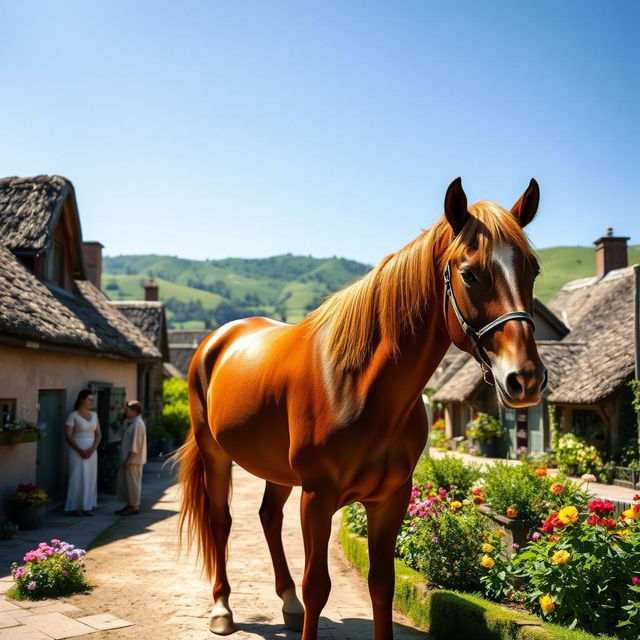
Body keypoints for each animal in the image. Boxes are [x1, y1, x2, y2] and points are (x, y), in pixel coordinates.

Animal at [172, 179, 548, 640]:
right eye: (469, 273)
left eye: (532, 270)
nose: (525, 378)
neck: (358, 387)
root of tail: (216, 340)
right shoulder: (317, 498)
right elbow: (318, 585)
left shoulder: (391, 499)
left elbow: (382, 584)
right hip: (215, 455)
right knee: (221, 521)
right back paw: (222, 608)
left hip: (276, 469)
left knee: (268, 517)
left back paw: (287, 602)